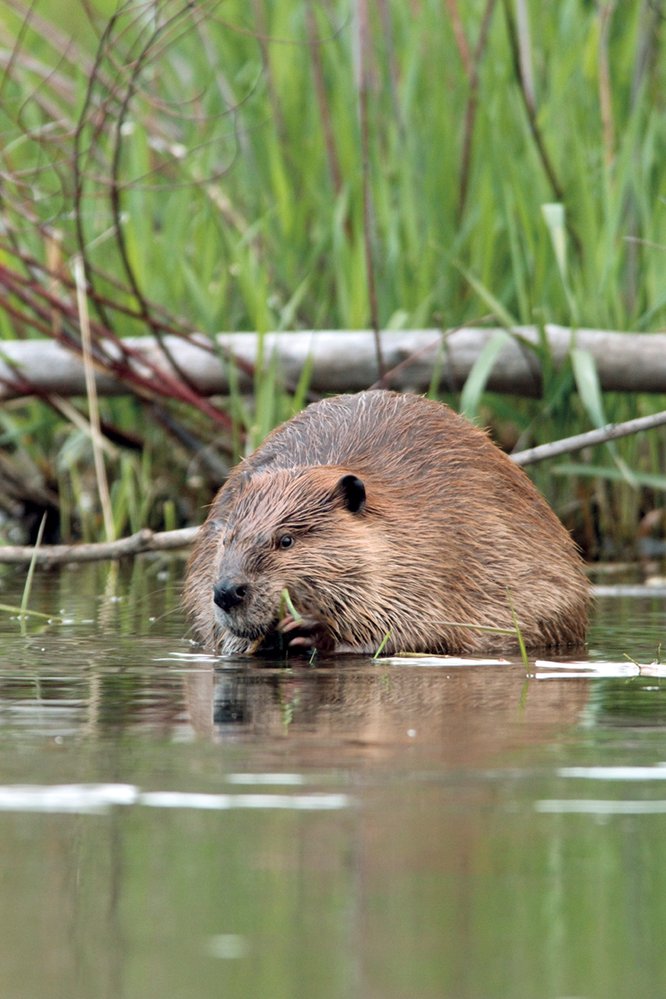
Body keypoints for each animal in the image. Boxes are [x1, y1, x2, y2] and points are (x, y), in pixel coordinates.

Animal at [184, 388, 588, 656]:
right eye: (227, 539)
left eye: (285, 540)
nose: (227, 592)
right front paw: (265, 637)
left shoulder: (436, 556)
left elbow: (418, 629)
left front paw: (310, 630)